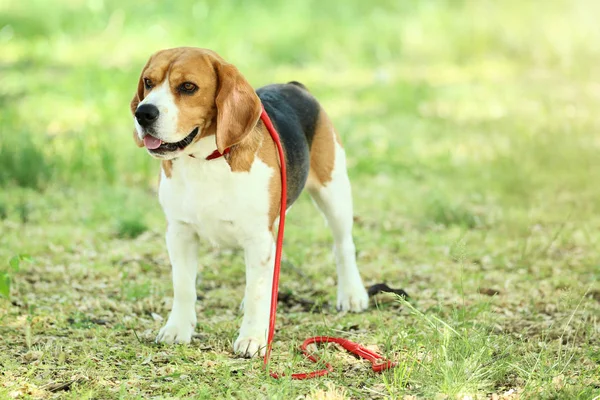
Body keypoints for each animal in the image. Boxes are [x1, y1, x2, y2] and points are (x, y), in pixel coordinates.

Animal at [129, 47, 368, 356]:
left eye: (188, 87)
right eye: (148, 82)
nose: (143, 113)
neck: (207, 160)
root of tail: (294, 85)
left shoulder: (257, 238)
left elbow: (255, 291)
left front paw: (253, 338)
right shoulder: (180, 232)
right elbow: (183, 285)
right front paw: (177, 329)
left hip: (334, 193)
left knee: (343, 246)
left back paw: (352, 295)